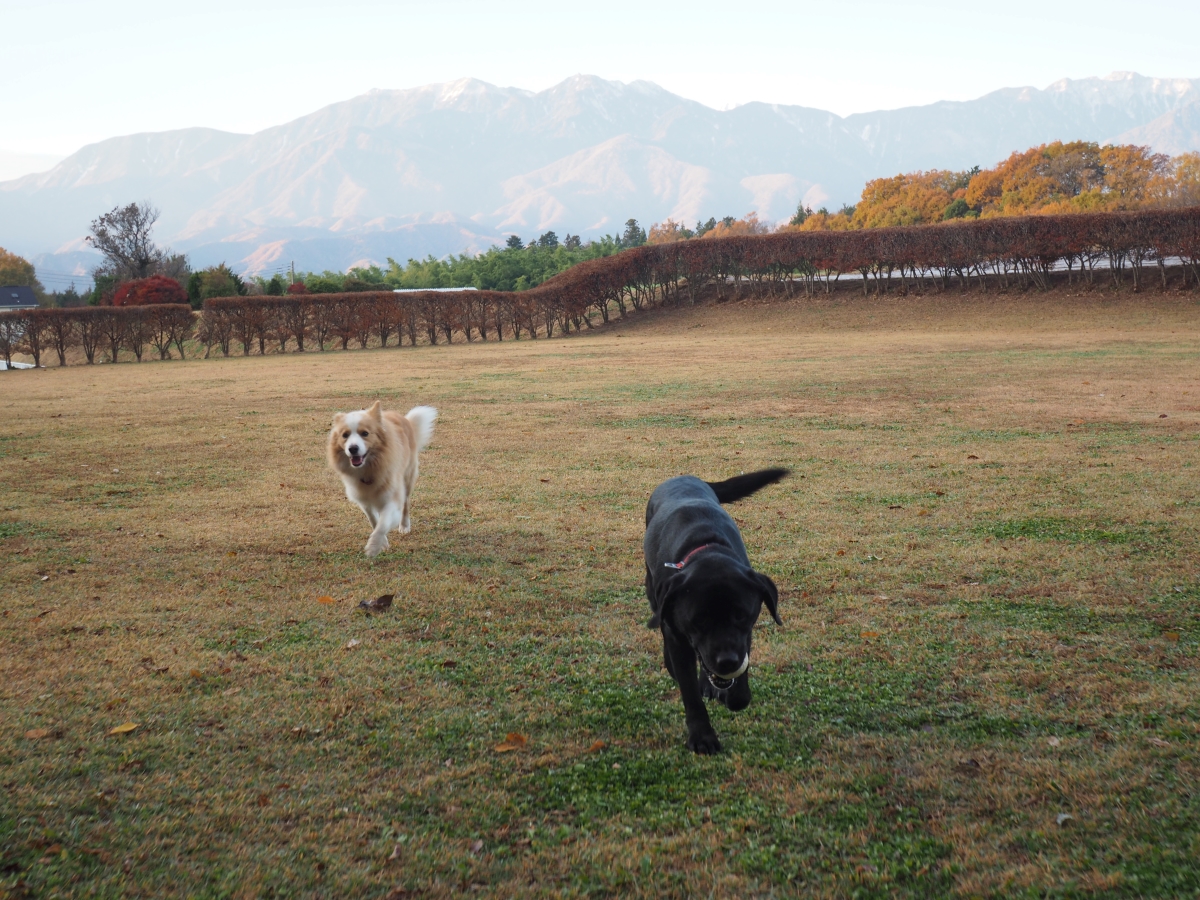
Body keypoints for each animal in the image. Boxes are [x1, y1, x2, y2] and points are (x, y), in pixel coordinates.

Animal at [326, 400, 439, 556]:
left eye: (365, 433)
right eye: (345, 435)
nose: (353, 449)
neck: (371, 468)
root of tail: (403, 418)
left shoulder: (392, 497)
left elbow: (383, 523)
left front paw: (374, 546)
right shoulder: (364, 500)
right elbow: (374, 521)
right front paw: (383, 542)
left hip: (407, 479)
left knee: (405, 504)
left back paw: (404, 526)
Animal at [643, 468, 792, 758]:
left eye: (741, 615)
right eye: (698, 620)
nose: (727, 662)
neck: (706, 546)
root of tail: (685, 476)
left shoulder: (744, 636)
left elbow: (740, 681)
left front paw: (735, 695)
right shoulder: (679, 635)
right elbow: (689, 692)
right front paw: (702, 736)